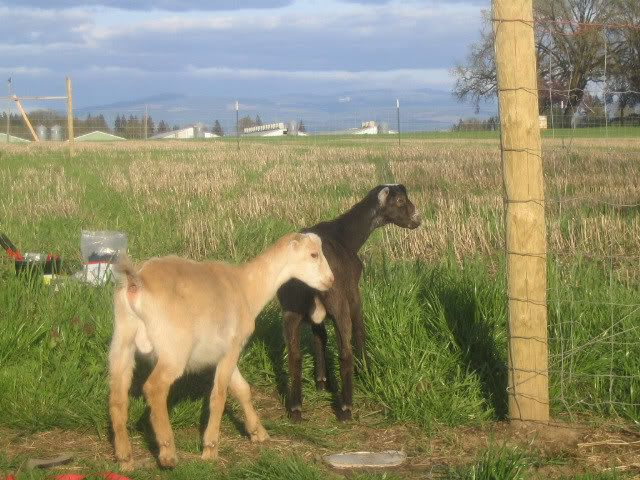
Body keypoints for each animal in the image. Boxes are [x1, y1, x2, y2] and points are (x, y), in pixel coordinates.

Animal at [108, 233, 334, 470]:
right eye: (314, 254)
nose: (330, 280)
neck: (246, 286)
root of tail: (137, 282)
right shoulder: (232, 347)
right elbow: (219, 395)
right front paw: (210, 449)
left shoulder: (224, 353)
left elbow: (242, 389)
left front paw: (258, 433)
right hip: (174, 349)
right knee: (154, 387)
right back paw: (168, 453)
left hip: (122, 341)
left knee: (117, 396)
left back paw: (125, 459)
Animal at [277, 184, 420, 422]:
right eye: (400, 200)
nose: (417, 219)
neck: (346, 235)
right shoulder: (353, 292)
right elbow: (360, 331)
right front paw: (365, 372)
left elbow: (319, 337)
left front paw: (321, 382)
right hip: (338, 303)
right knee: (345, 350)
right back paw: (346, 408)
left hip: (290, 309)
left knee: (294, 355)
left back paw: (296, 407)